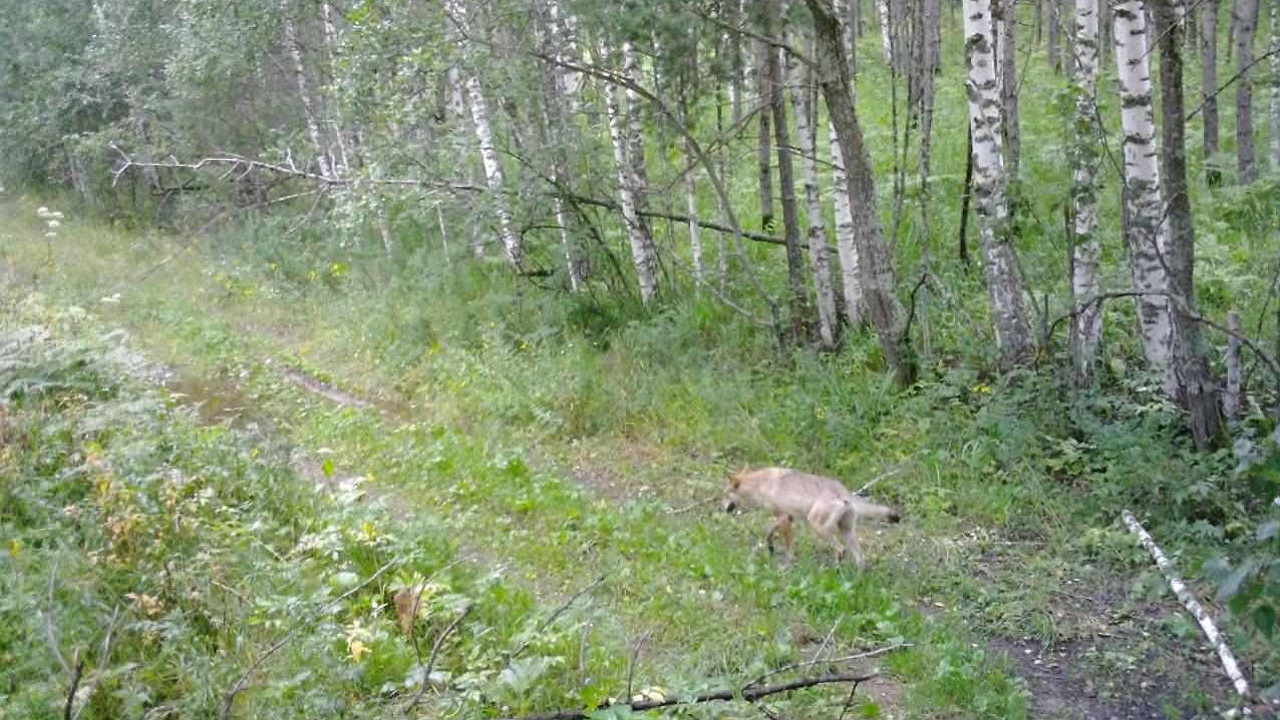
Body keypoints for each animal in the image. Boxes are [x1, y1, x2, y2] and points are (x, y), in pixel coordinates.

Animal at [727, 466, 896, 566]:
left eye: (724, 494)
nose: (723, 508)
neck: (761, 485)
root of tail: (844, 492)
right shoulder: (787, 517)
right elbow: (769, 532)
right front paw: (770, 547)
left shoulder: (784, 519)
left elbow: (788, 547)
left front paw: (788, 563)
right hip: (846, 532)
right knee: (860, 559)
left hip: (818, 528)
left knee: (841, 550)